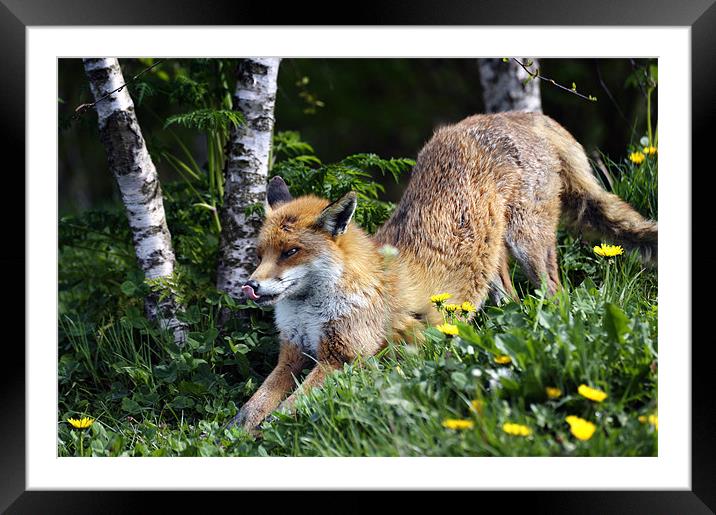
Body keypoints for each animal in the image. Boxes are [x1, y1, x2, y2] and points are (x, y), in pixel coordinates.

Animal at [228, 113, 656, 432]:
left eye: (291, 252)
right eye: (261, 253)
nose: (251, 286)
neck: (311, 310)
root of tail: (518, 114)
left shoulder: (342, 357)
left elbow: (284, 413)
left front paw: (267, 437)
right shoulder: (292, 355)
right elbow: (251, 410)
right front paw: (234, 437)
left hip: (528, 244)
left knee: (556, 295)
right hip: (493, 266)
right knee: (511, 303)